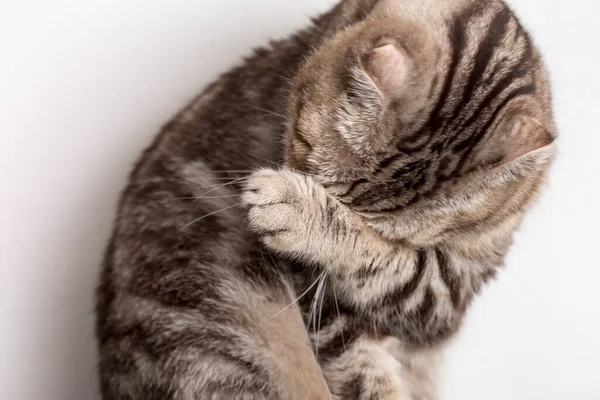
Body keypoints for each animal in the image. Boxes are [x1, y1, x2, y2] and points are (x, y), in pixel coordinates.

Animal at [95, 0, 556, 400]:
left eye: (380, 230)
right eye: (326, 189)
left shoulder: (445, 298)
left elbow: (396, 268)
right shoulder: (320, 298)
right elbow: (362, 366)